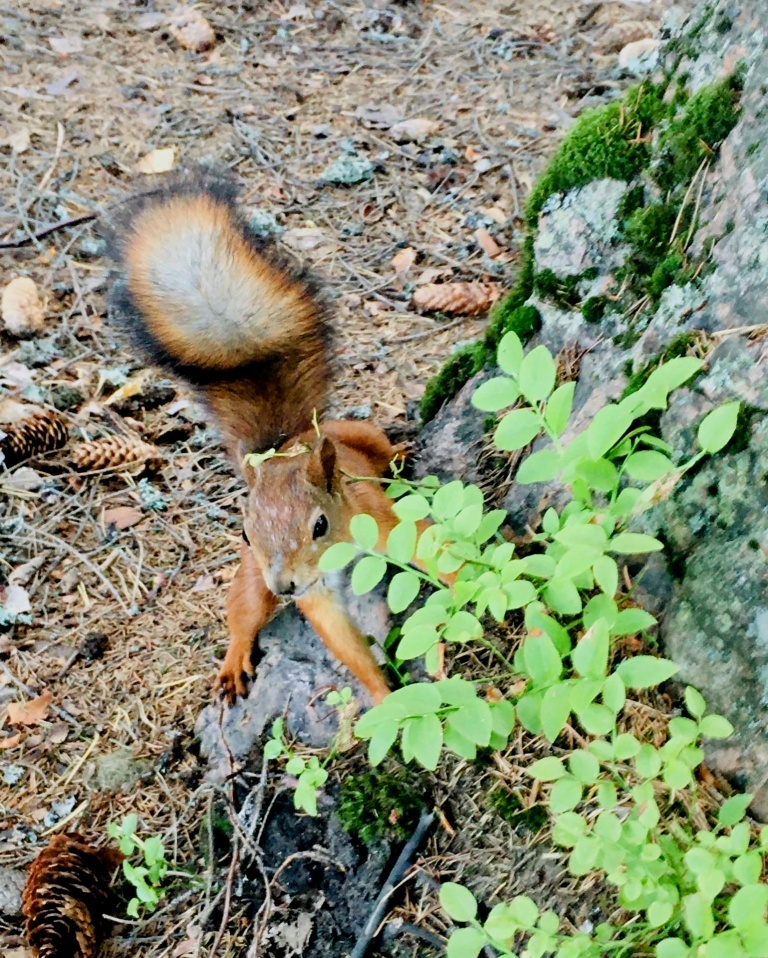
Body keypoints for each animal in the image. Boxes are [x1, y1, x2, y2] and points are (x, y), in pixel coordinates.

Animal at [106, 174, 414, 704]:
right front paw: (383, 699)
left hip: (356, 432)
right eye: (247, 534)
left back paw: (398, 455)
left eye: (319, 525)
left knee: (377, 445)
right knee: (244, 611)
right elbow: (342, 640)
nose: (286, 584)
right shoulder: (311, 590)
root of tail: (279, 447)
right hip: (252, 577)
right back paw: (233, 661)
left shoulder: (382, 524)